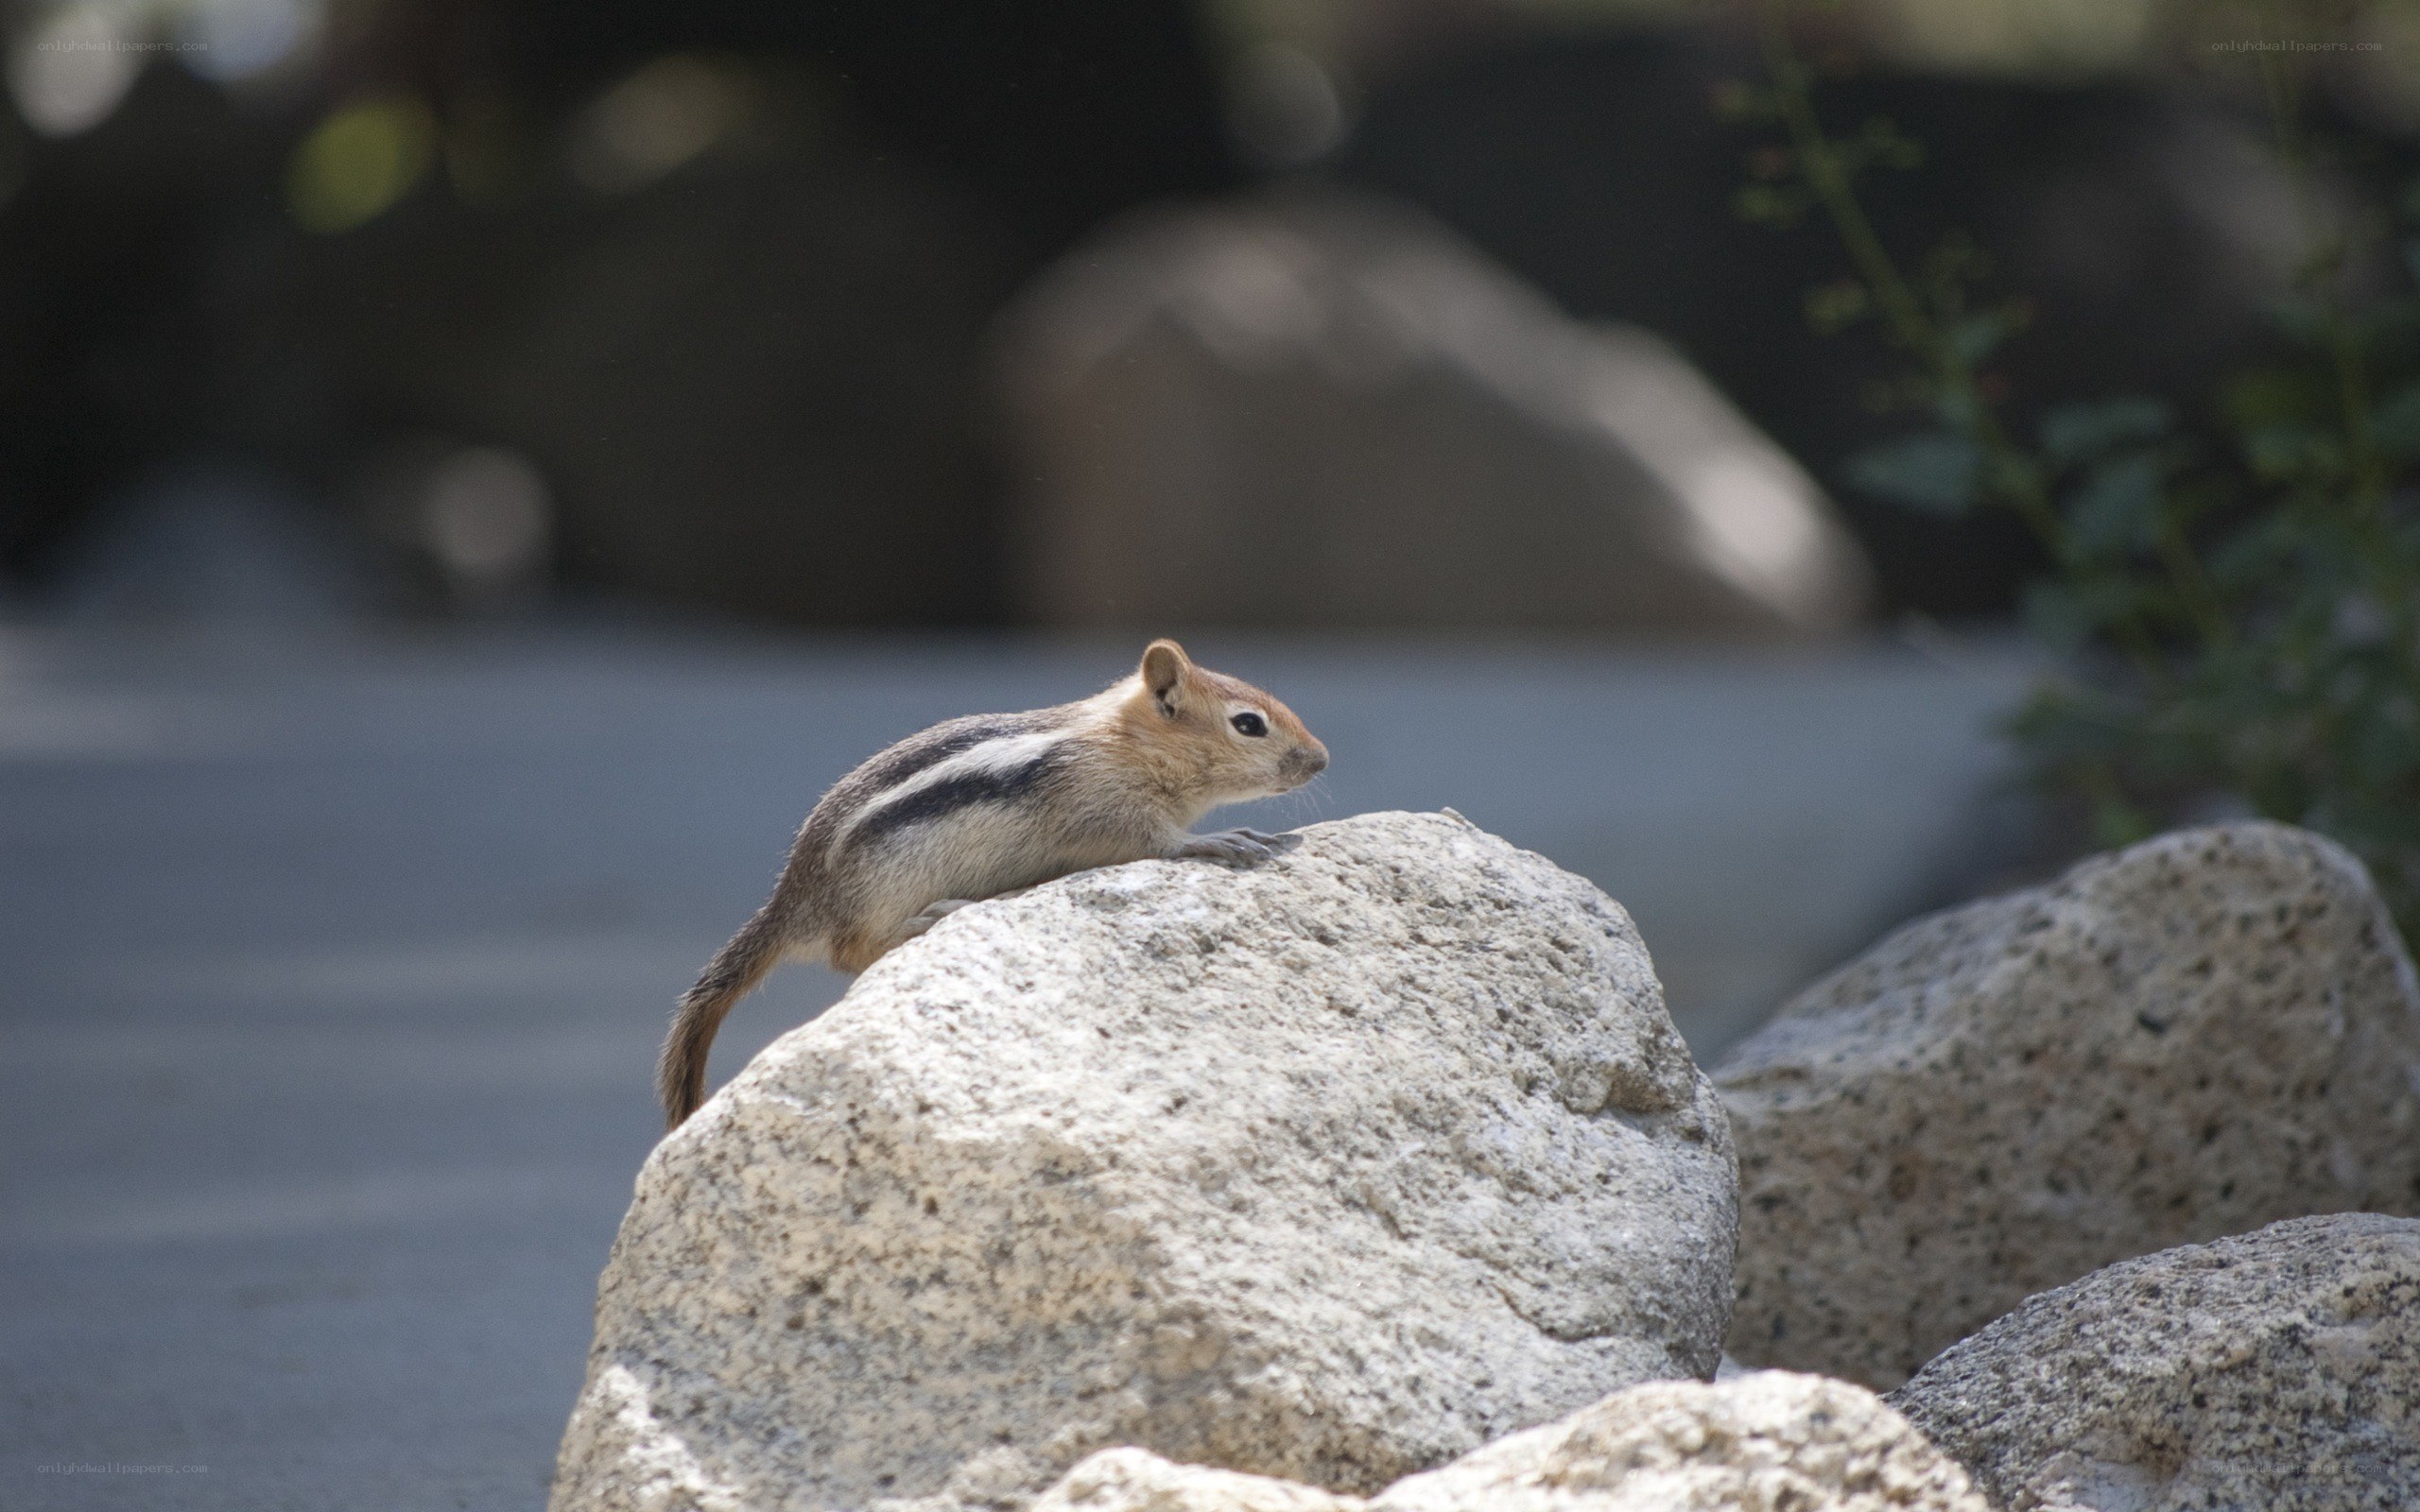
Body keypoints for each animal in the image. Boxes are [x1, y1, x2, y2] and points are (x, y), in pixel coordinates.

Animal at [657, 638, 1329, 1128]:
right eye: (1249, 724)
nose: (1322, 760)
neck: (1125, 742)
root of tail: (790, 903)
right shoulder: (1105, 811)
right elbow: (1157, 842)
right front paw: (1216, 840)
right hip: (883, 891)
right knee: (852, 953)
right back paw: (931, 918)